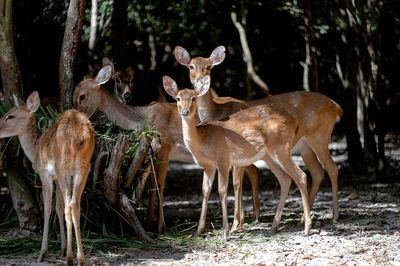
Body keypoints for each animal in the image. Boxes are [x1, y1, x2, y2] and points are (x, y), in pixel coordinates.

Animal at [0, 91, 95, 264]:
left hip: (63, 166)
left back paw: (71, 258)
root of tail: (79, 137)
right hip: (84, 166)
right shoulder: (56, 178)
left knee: (70, 204)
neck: (35, 152)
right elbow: (58, 207)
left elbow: (48, 208)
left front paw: (42, 253)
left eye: (11, 116)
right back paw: (80, 258)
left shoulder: (45, 174)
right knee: (74, 204)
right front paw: (62, 249)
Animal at [74, 65, 262, 234]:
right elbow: (151, 183)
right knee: (253, 170)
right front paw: (150, 221)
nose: (74, 114)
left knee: (240, 179)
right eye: (75, 91)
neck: (142, 118)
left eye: (82, 96)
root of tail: (247, 105)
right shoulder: (154, 151)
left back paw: (238, 223)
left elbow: (160, 184)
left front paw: (160, 226)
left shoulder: (165, 146)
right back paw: (251, 218)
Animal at [162, 75, 316, 239]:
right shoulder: (208, 166)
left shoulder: (223, 159)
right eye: (178, 98)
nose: (185, 111)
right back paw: (273, 227)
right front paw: (198, 231)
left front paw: (225, 232)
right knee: (285, 179)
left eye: (194, 98)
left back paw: (306, 228)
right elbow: (205, 191)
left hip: (281, 148)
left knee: (301, 175)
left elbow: (222, 191)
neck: (203, 141)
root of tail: (294, 121)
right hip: (269, 156)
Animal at [175, 44, 344, 228]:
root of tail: (336, 107)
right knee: (317, 172)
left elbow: (237, 182)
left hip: (320, 137)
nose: (199, 81)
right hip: (304, 147)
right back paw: (301, 219)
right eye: (191, 66)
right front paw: (243, 220)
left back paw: (334, 216)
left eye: (209, 66)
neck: (216, 113)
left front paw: (236, 224)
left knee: (332, 168)